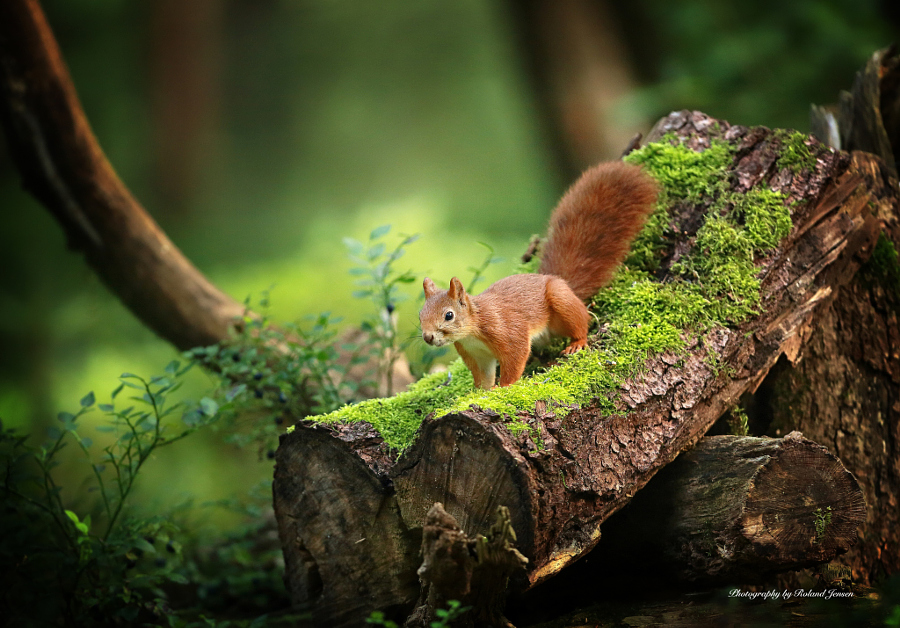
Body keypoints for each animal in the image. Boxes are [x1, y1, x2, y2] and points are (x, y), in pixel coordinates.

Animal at [418, 161, 656, 388]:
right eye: (420, 315)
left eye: (449, 315)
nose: (428, 337)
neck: (473, 330)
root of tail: (559, 281)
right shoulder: (476, 354)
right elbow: (483, 376)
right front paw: (479, 392)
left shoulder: (508, 332)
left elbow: (515, 358)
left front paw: (504, 387)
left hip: (560, 300)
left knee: (582, 320)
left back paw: (577, 342)